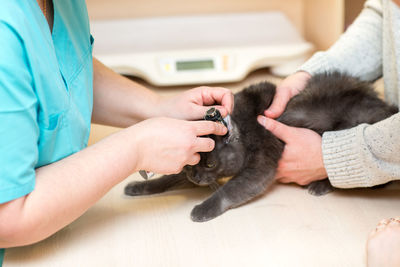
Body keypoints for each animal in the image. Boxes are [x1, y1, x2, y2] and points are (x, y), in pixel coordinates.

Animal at [124, 72, 396, 223]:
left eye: (211, 163)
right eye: (192, 163)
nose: (196, 178)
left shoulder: (260, 166)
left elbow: (229, 190)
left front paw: (203, 209)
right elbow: (168, 178)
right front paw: (138, 186)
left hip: (349, 126)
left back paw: (319, 185)